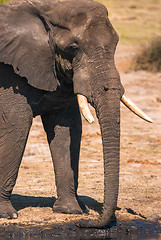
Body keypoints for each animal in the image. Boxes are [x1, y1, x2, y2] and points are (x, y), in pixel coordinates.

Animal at [0, 0, 152, 228]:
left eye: (116, 44)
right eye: (73, 48)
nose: (84, 223)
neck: (46, 8)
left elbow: (67, 127)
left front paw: (69, 211)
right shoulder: (10, 74)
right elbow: (17, 123)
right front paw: (7, 215)